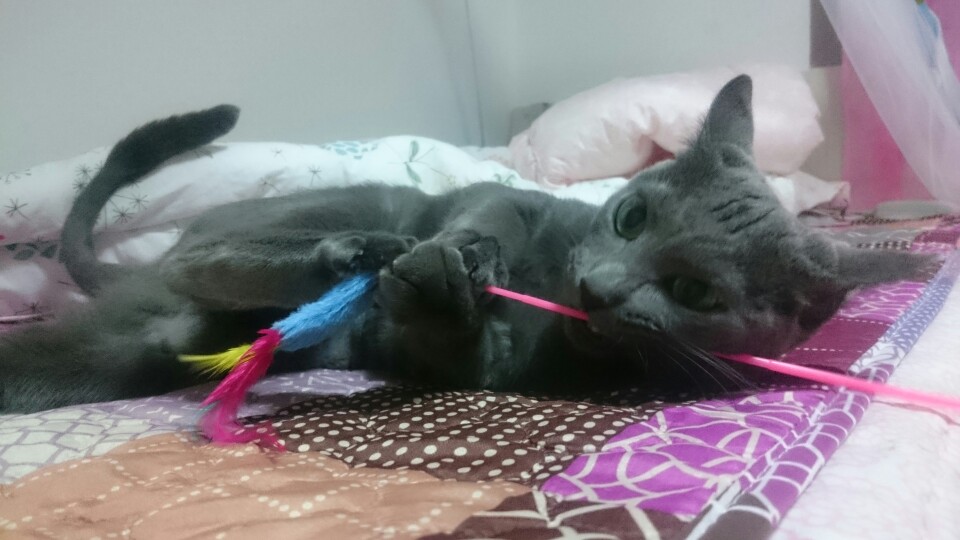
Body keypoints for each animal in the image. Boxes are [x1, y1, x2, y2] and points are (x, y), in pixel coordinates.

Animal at [0, 75, 931, 413]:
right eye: (630, 218)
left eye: (698, 294)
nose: (601, 290)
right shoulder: (502, 199)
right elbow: (485, 215)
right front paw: (462, 257)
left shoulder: (487, 369)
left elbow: (453, 348)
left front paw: (445, 293)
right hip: (339, 202)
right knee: (213, 257)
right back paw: (354, 252)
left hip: (120, 352)